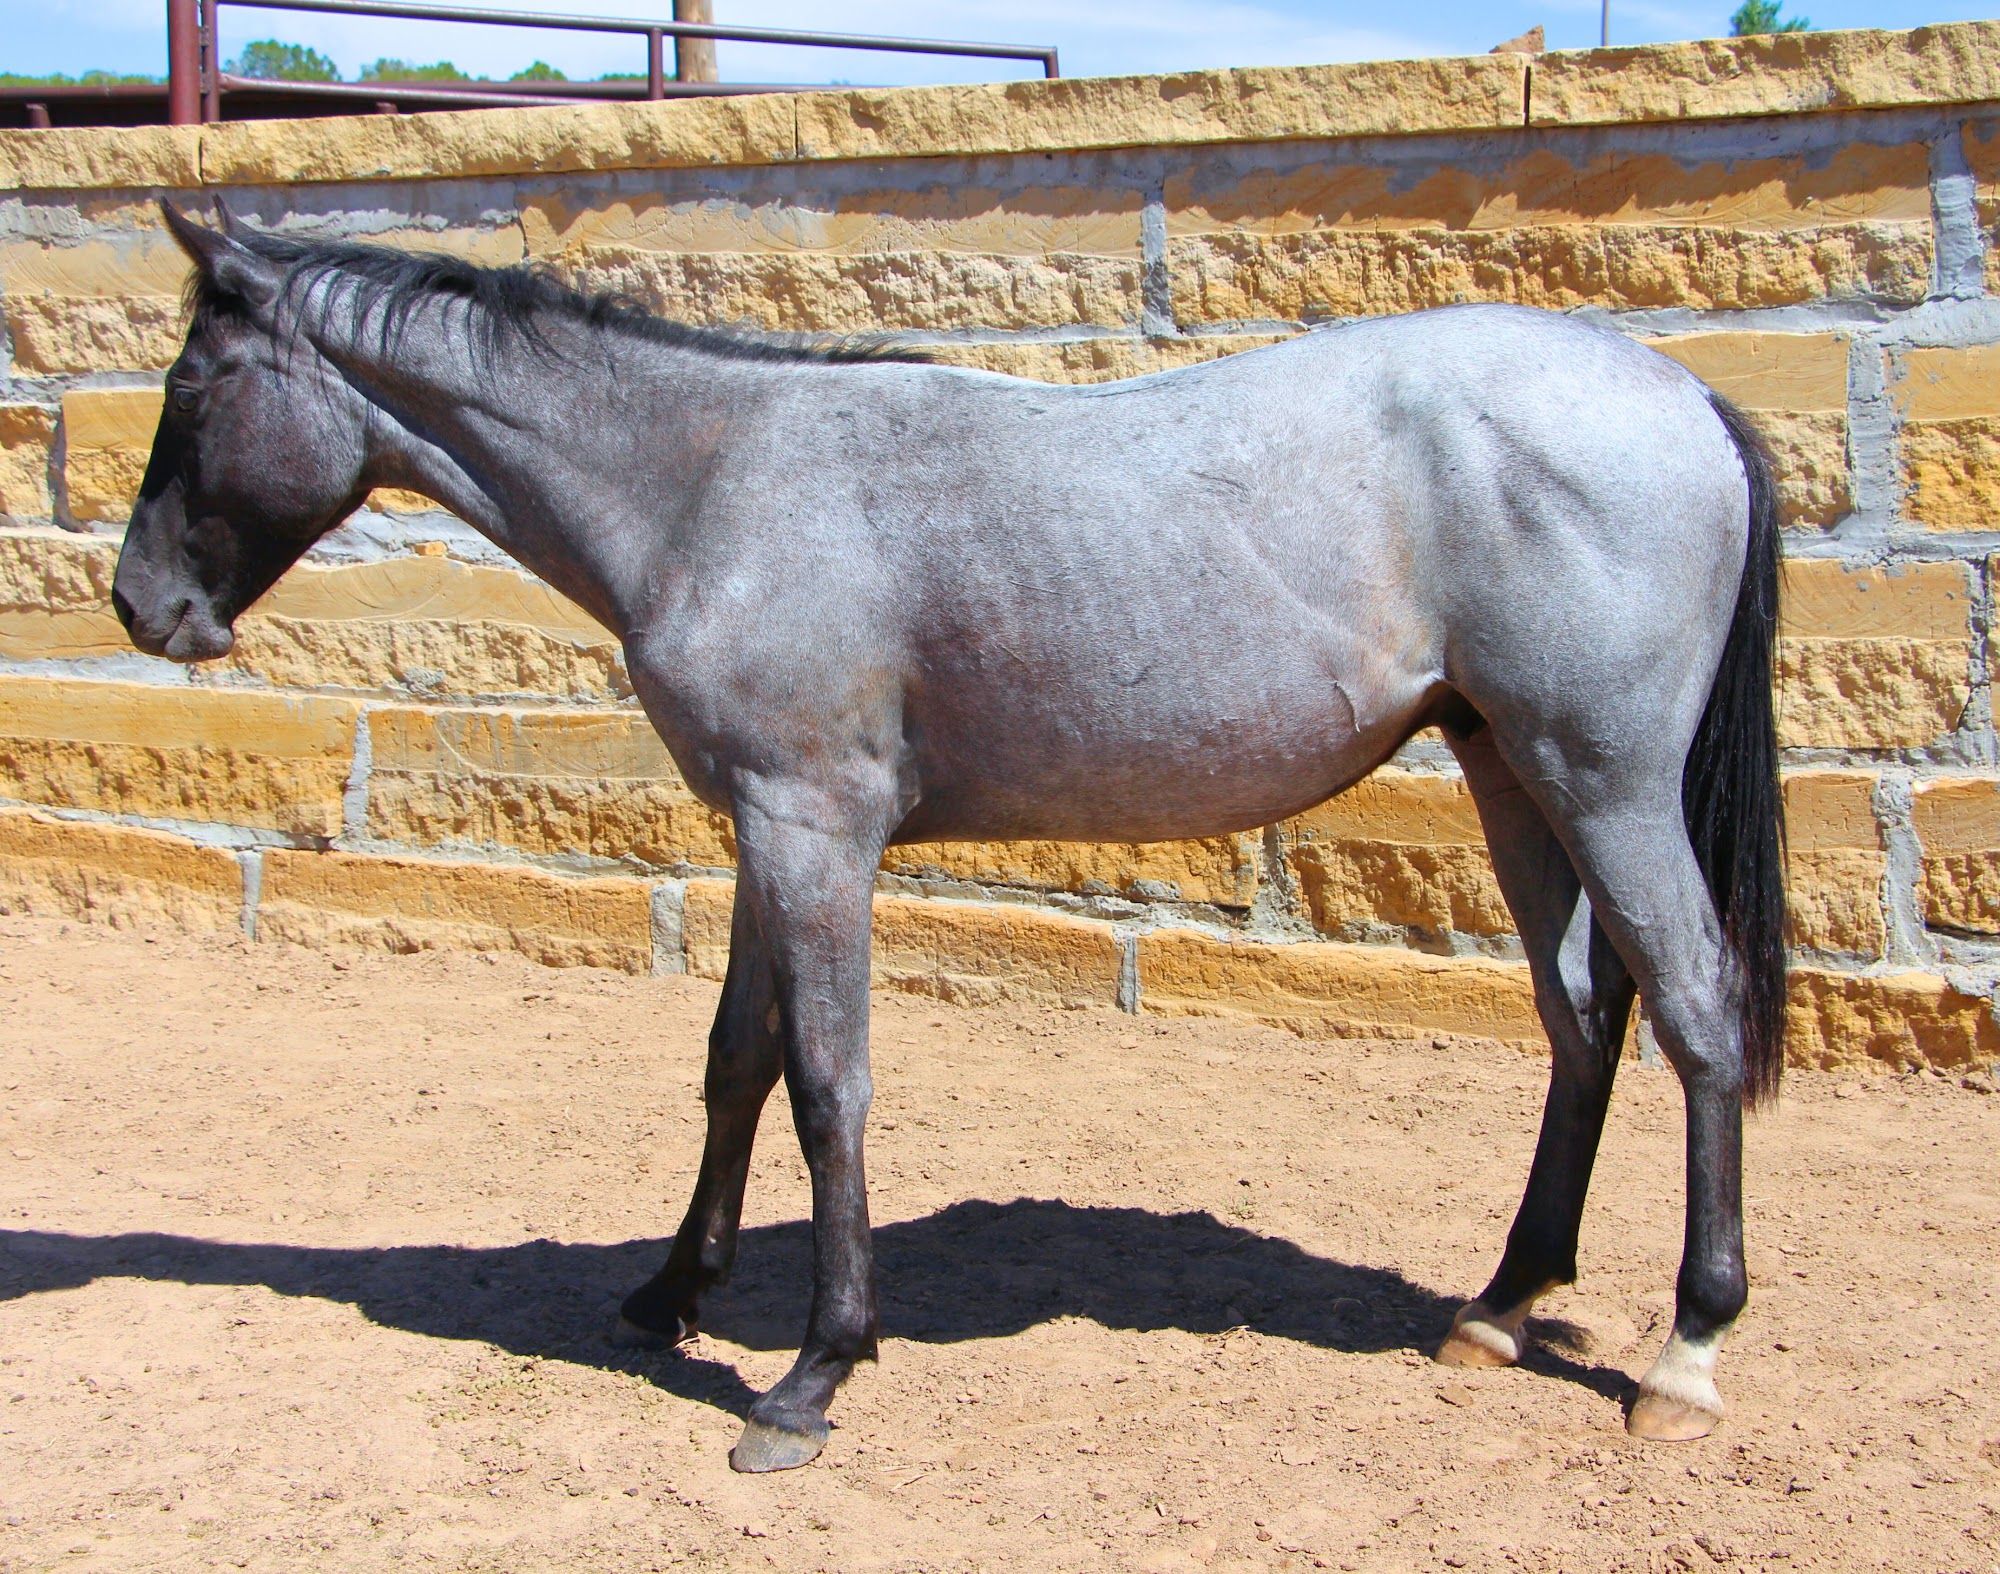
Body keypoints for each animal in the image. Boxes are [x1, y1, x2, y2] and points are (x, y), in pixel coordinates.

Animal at [115, 202, 1785, 1473]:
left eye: (191, 390)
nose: (142, 606)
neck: (717, 476)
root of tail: (1679, 397)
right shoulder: (762, 825)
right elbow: (736, 1059)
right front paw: (672, 1288)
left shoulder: (816, 830)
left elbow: (828, 1085)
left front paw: (812, 1372)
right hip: (1514, 772)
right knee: (1583, 1016)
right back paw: (1502, 1300)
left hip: (1604, 779)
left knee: (1697, 1009)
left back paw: (1688, 1347)